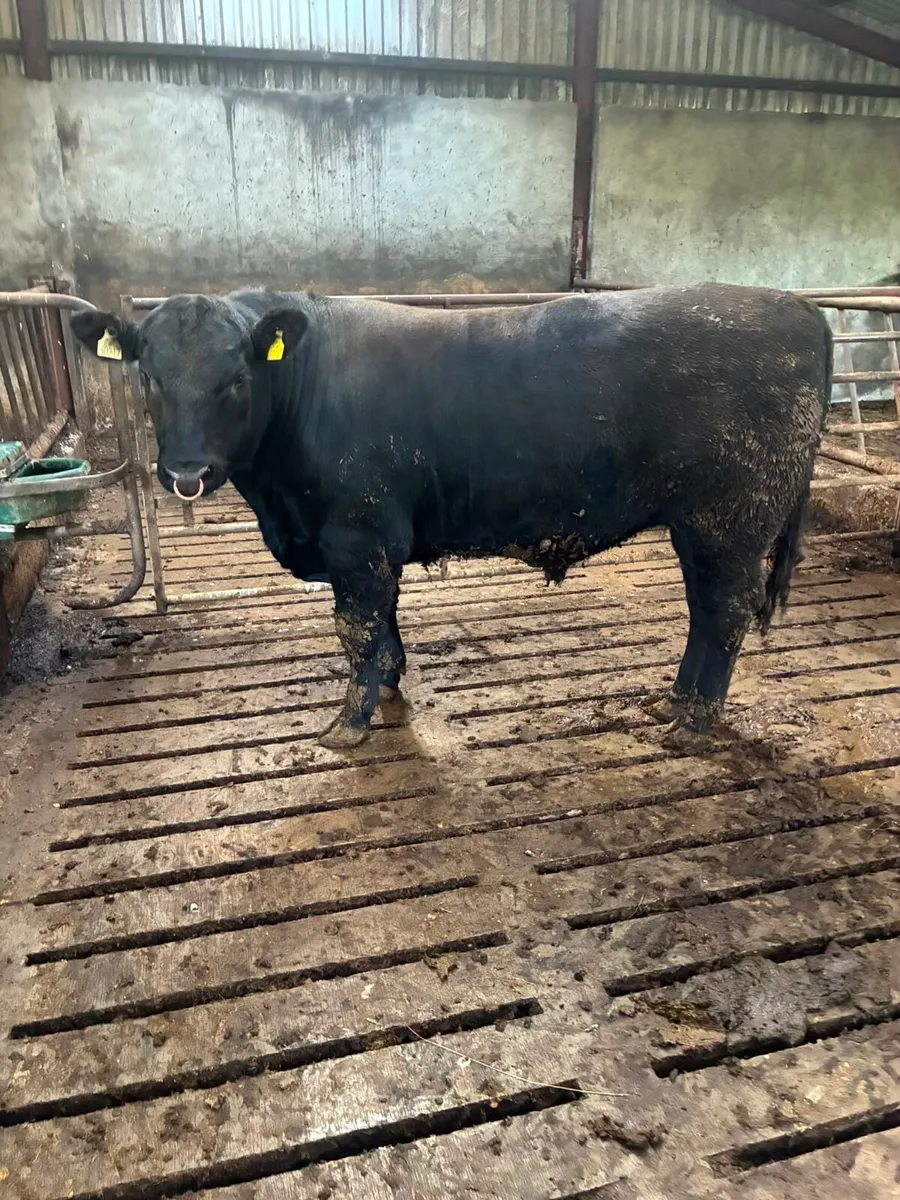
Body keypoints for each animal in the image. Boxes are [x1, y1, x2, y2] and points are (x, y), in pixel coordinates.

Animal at [72, 285, 831, 749]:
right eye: (148, 378)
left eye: (234, 379)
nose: (186, 474)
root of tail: (795, 306)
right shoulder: (374, 541)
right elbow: (384, 622)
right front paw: (390, 685)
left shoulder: (355, 536)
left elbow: (354, 628)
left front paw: (348, 722)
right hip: (704, 525)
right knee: (707, 612)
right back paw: (673, 704)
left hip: (729, 521)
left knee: (724, 613)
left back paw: (694, 721)